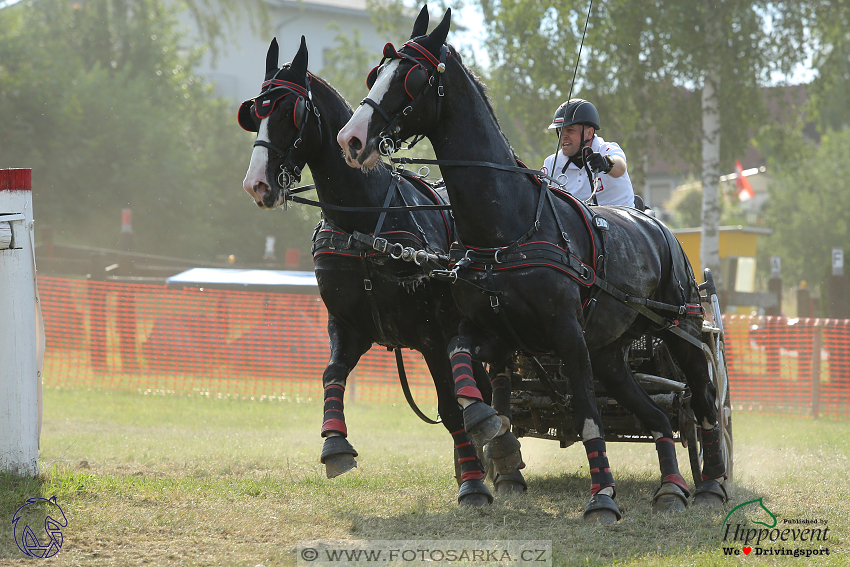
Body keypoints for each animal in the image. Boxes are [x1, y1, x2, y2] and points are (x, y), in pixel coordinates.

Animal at [238, 36, 528, 506]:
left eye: (287, 112)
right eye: (253, 114)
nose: (257, 184)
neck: (366, 222)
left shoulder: (434, 334)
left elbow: (452, 407)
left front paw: (472, 483)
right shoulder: (349, 325)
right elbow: (331, 374)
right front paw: (335, 444)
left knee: (491, 385)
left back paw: (500, 460)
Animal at [338, 7, 728, 524]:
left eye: (413, 77)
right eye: (375, 73)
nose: (351, 137)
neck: (511, 223)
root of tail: (662, 229)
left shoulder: (567, 334)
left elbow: (588, 416)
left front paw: (602, 497)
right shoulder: (497, 333)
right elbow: (462, 358)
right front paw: (485, 422)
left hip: (679, 330)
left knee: (702, 401)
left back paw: (713, 483)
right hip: (610, 354)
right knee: (660, 414)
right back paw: (670, 488)